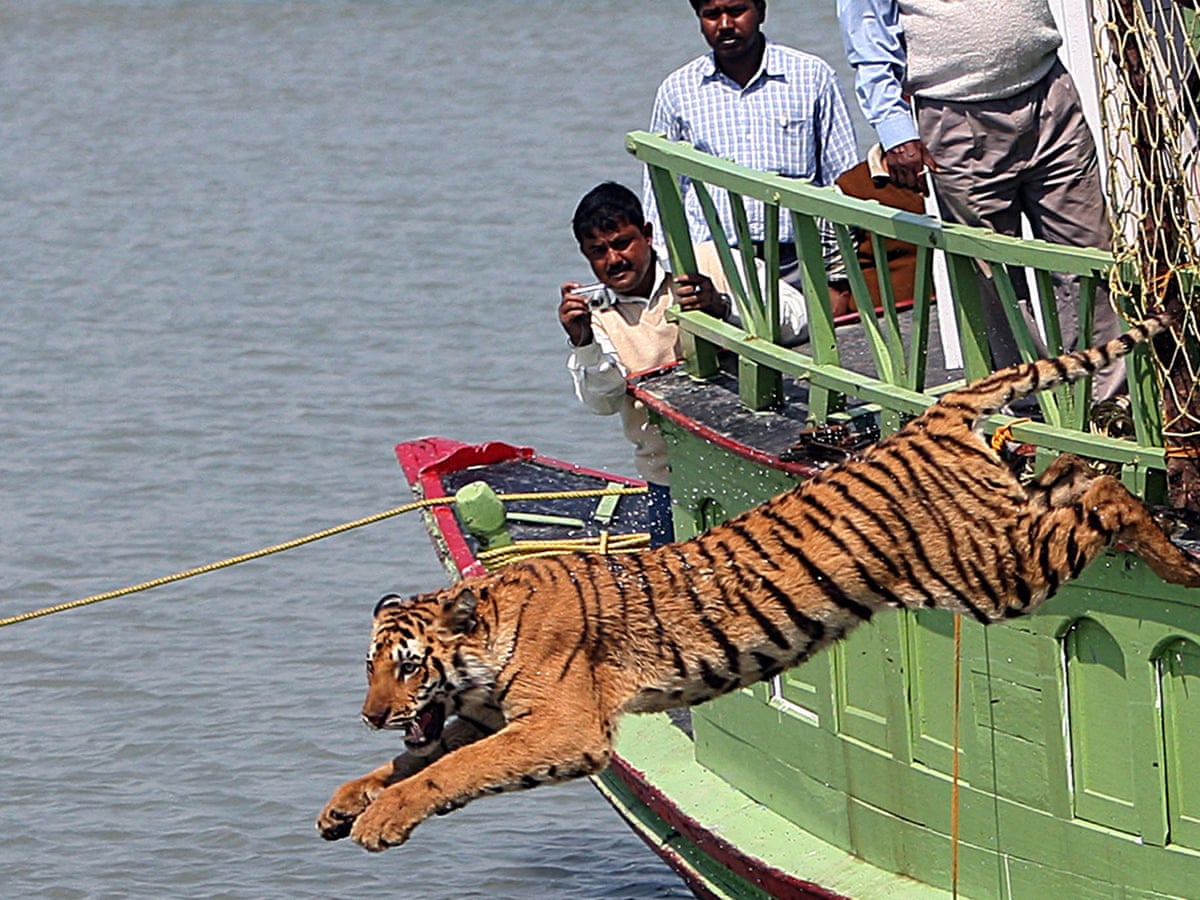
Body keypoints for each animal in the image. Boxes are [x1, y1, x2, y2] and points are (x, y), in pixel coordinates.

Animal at [316, 314, 1200, 854]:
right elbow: (411, 762)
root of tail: (931, 415)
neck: (487, 639)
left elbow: (448, 772)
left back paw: (1179, 561)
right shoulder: (485, 717)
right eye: (369, 667)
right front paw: (344, 800)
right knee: (1076, 475)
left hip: (993, 573)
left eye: (406, 666)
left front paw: (381, 820)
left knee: (1106, 492)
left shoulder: (562, 730)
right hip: (1003, 530)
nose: (369, 716)